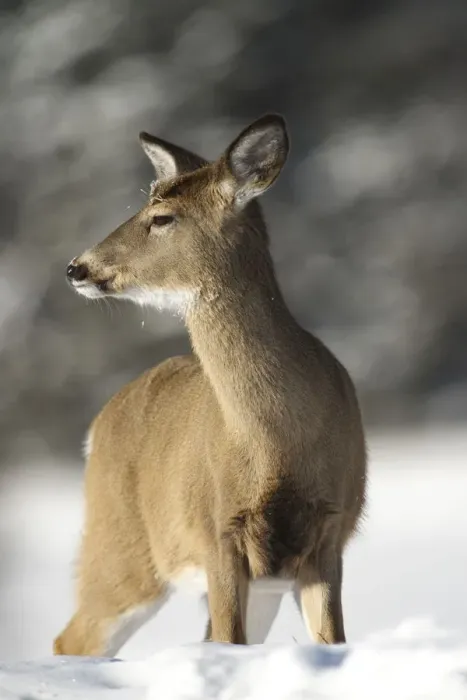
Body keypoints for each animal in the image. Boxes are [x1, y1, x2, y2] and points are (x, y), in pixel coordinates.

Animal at [54, 114, 367, 657]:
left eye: (162, 217)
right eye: (147, 202)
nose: (77, 267)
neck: (275, 442)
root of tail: (95, 429)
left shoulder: (330, 528)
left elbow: (331, 640)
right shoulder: (215, 529)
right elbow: (228, 640)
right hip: (121, 546)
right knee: (71, 638)